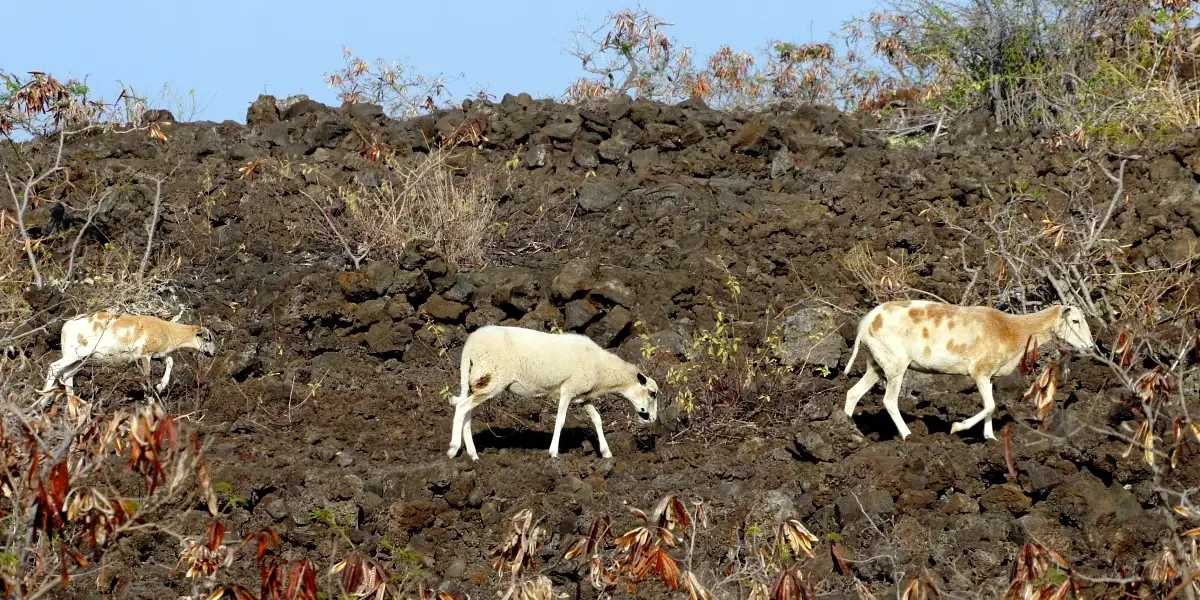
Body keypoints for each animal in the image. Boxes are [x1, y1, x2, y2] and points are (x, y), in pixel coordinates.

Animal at [40, 312, 216, 400]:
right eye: (207, 338)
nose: (213, 353)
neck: (167, 331)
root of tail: (66, 326)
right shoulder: (145, 354)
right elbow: (147, 375)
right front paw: (149, 397)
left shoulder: (158, 354)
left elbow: (171, 361)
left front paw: (161, 386)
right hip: (76, 353)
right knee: (54, 367)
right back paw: (43, 402)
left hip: (80, 358)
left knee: (67, 376)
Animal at [446, 325, 658, 461]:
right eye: (653, 393)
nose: (653, 419)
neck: (601, 368)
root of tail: (470, 344)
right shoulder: (568, 390)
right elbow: (561, 420)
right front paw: (553, 452)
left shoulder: (583, 396)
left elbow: (597, 419)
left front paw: (606, 452)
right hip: (493, 379)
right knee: (462, 407)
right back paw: (454, 448)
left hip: (480, 382)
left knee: (467, 412)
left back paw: (473, 455)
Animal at [842, 300, 1094, 440]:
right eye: (1075, 321)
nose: (1091, 346)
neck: (1013, 330)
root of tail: (866, 322)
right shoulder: (979, 372)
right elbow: (990, 405)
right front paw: (956, 427)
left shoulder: (990, 377)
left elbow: (991, 407)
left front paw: (990, 438)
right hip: (896, 365)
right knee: (889, 401)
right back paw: (908, 435)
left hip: (876, 364)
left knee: (853, 393)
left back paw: (848, 429)